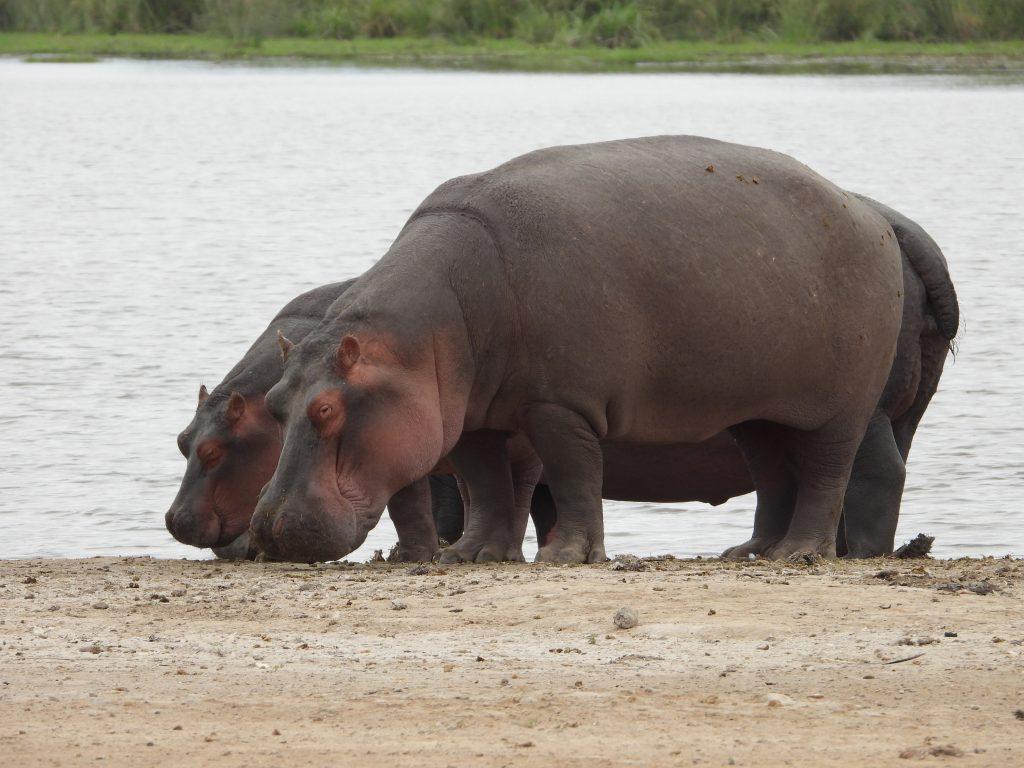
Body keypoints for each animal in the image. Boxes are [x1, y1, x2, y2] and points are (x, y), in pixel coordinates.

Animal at [250, 135, 905, 564]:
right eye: (276, 403)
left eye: (327, 409)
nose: (265, 531)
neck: (430, 327)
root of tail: (867, 212)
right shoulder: (470, 416)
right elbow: (487, 484)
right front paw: (471, 554)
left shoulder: (560, 403)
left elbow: (573, 474)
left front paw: (566, 555)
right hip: (754, 408)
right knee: (771, 469)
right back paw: (750, 551)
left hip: (842, 406)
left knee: (827, 471)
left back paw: (799, 552)